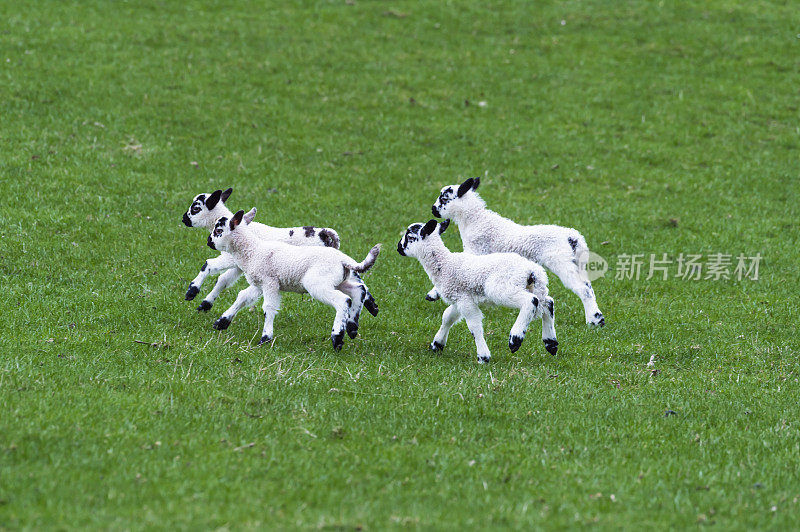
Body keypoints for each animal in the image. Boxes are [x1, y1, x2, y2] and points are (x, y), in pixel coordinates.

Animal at [183, 189, 380, 326]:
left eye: (196, 208)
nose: (184, 219)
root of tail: (325, 234)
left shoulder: (231, 259)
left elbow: (208, 265)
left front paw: (192, 291)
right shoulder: (240, 265)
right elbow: (223, 280)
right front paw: (205, 304)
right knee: (358, 279)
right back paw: (371, 307)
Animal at [206, 207, 382, 350]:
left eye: (218, 230)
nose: (209, 242)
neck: (253, 250)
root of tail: (343, 259)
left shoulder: (270, 282)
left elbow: (268, 307)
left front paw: (265, 338)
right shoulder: (258, 284)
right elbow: (242, 297)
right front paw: (222, 322)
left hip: (317, 283)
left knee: (344, 300)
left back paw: (337, 337)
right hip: (337, 280)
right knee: (358, 290)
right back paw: (352, 327)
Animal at [396, 218, 560, 364]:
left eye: (410, 237)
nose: (398, 248)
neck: (445, 265)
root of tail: (532, 271)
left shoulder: (464, 299)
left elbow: (474, 325)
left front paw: (483, 356)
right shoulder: (459, 297)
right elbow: (447, 317)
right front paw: (437, 344)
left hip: (502, 287)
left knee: (531, 300)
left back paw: (515, 339)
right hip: (537, 287)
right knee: (548, 303)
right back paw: (551, 343)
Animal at [432, 179, 608, 326]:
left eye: (444, 199)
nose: (433, 210)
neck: (475, 220)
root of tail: (573, 238)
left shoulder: (477, 251)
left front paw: (433, 294)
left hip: (561, 261)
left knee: (582, 288)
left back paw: (594, 320)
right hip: (578, 263)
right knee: (588, 286)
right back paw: (597, 317)